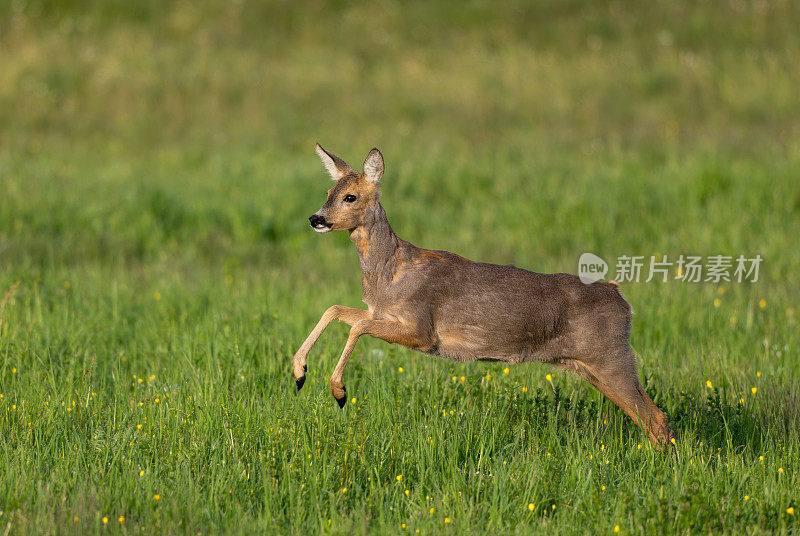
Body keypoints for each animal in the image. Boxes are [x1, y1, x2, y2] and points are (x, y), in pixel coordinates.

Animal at [290, 144, 672, 446]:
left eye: (350, 196)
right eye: (328, 190)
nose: (315, 218)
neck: (390, 271)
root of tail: (622, 301)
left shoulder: (421, 329)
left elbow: (356, 326)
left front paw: (338, 392)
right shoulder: (380, 313)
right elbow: (334, 309)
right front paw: (299, 372)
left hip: (610, 357)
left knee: (656, 419)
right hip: (595, 365)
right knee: (652, 417)